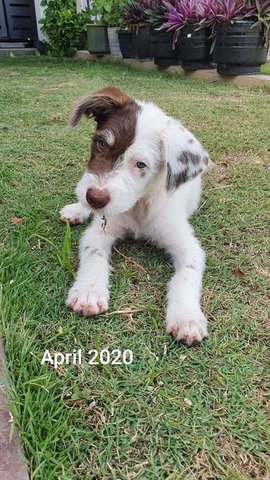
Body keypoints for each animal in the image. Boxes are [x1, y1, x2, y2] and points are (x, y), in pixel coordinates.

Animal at [60, 87, 212, 344]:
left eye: (141, 164)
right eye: (101, 144)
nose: (95, 198)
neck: (139, 206)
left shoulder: (188, 247)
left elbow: (186, 276)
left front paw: (186, 317)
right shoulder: (100, 230)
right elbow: (94, 256)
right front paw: (89, 291)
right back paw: (77, 210)